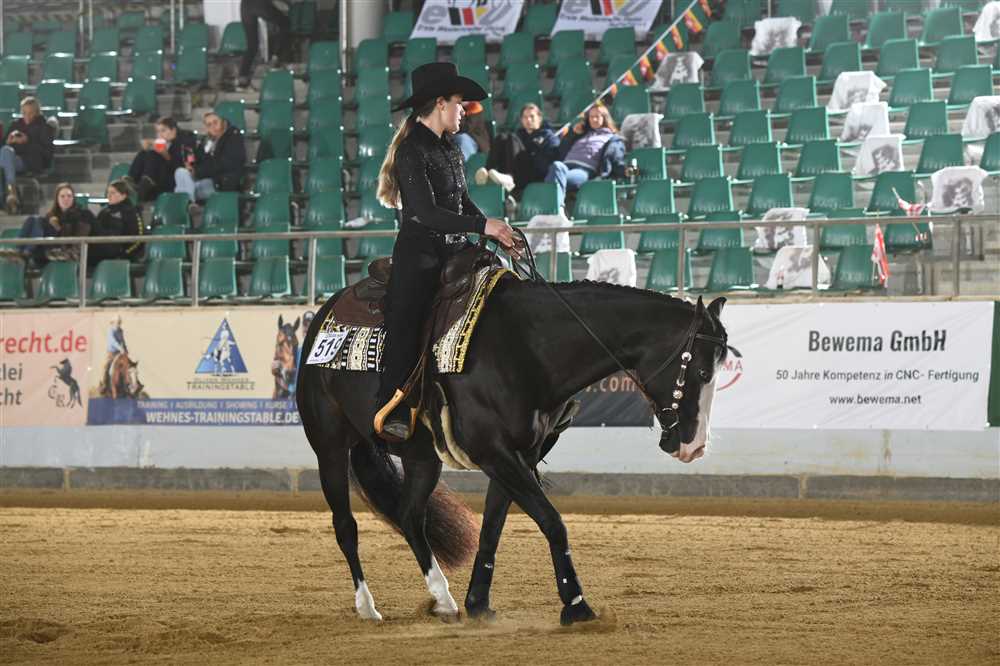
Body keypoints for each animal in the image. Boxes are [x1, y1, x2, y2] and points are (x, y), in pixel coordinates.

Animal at [296, 277, 729, 626]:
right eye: (701, 371)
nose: (694, 445)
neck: (526, 348)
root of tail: (326, 312)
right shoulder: (496, 454)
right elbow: (553, 521)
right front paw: (576, 605)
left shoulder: (517, 455)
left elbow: (492, 528)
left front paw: (478, 603)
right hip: (329, 446)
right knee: (346, 527)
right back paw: (367, 607)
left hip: (422, 458)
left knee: (410, 516)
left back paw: (444, 599)